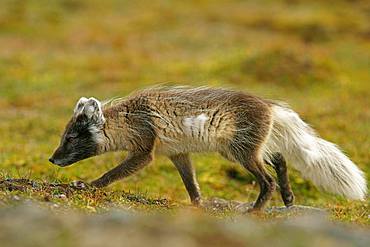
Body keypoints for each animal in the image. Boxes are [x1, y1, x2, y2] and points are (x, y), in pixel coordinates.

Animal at [49, 86, 368, 209]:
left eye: (71, 138)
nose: (52, 159)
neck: (128, 119)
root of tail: (269, 105)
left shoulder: (144, 151)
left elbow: (111, 174)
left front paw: (87, 185)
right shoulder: (177, 153)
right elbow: (191, 184)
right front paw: (197, 205)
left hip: (241, 152)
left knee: (267, 181)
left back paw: (254, 212)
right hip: (243, 149)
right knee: (279, 159)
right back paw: (289, 199)